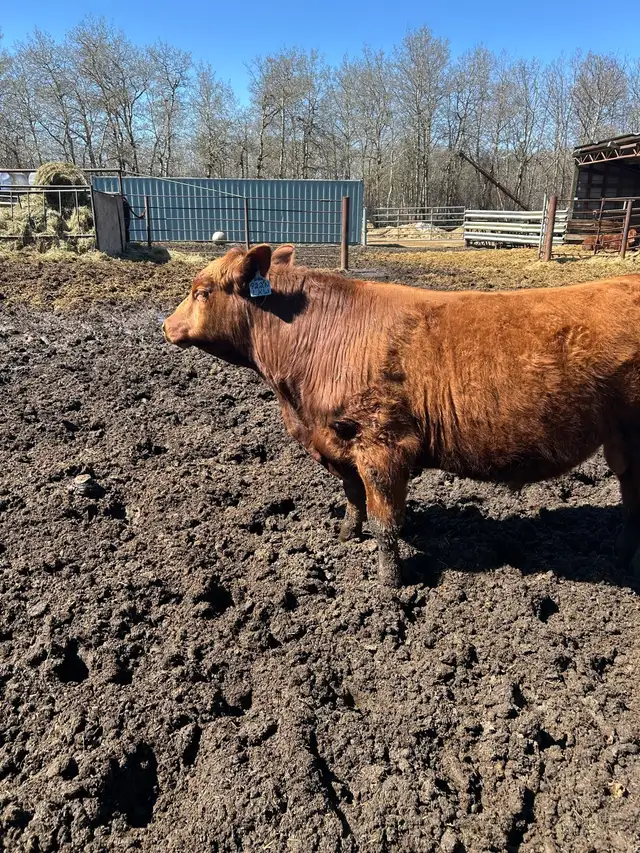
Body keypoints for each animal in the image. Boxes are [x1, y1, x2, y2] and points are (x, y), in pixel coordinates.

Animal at [163, 244, 640, 588]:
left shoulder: (384, 442)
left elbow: (385, 521)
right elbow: (353, 498)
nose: (166, 326)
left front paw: (389, 584)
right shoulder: (341, 442)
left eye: (201, 291)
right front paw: (344, 536)